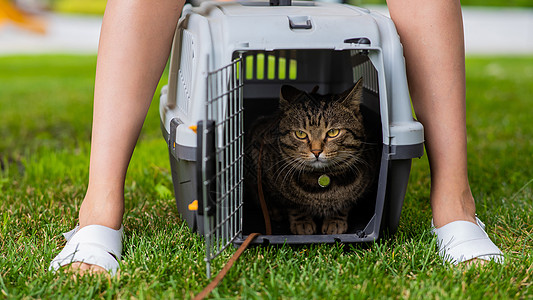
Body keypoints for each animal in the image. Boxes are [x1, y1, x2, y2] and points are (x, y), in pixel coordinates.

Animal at [245, 78, 378, 236]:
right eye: (300, 134)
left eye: (333, 132)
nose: (316, 151)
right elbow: (292, 204)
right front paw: (302, 222)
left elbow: (345, 204)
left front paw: (335, 220)